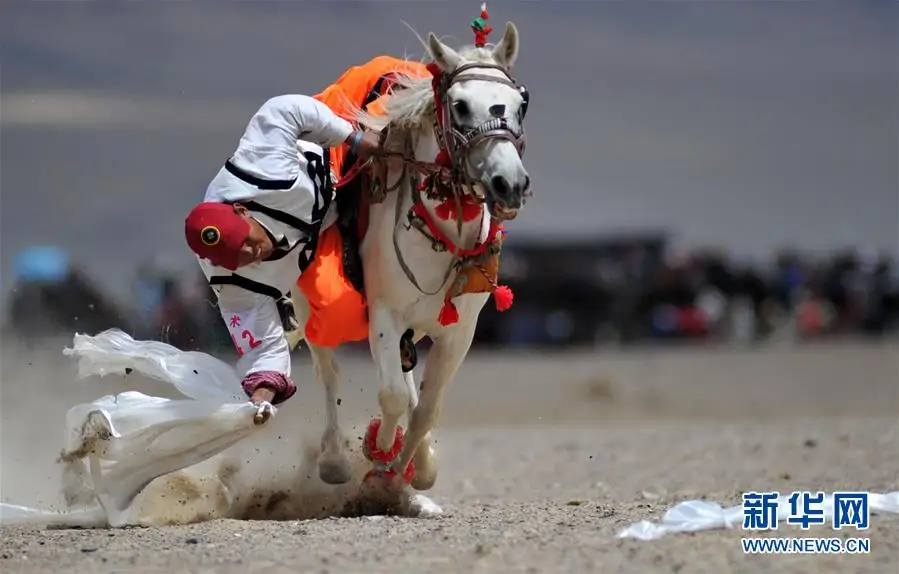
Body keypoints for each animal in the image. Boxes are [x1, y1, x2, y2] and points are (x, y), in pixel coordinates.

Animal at [296, 20, 532, 506]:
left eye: (522, 103)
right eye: (460, 106)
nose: (510, 183)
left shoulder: (460, 331)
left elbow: (426, 408)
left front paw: (404, 473)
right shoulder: (384, 314)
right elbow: (391, 397)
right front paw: (379, 467)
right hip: (314, 309)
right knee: (329, 372)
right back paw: (335, 461)